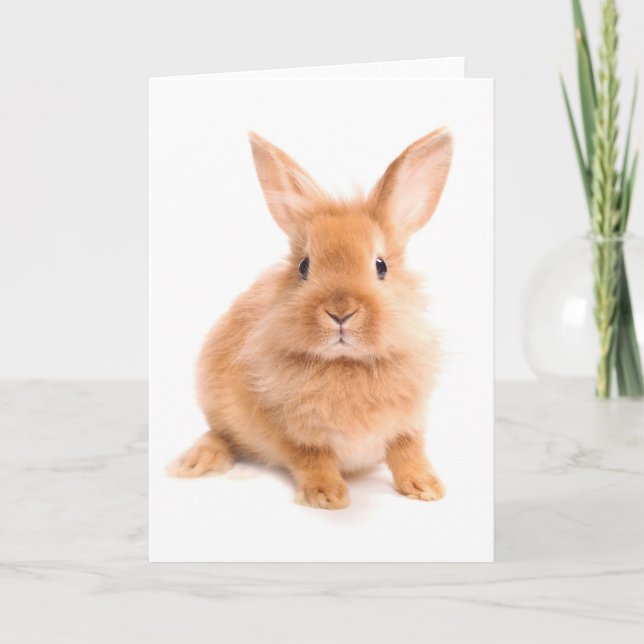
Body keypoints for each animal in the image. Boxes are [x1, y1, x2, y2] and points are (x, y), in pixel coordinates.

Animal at [168, 128, 453, 510]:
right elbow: (312, 459)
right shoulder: (291, 433)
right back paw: (197, 460)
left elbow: (408, 452)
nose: (340, 312)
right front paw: (327, 496)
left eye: (381, 266)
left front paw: (426, 488)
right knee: (220, 434)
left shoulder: (408, 423)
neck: (345, 365)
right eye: (304, 266)